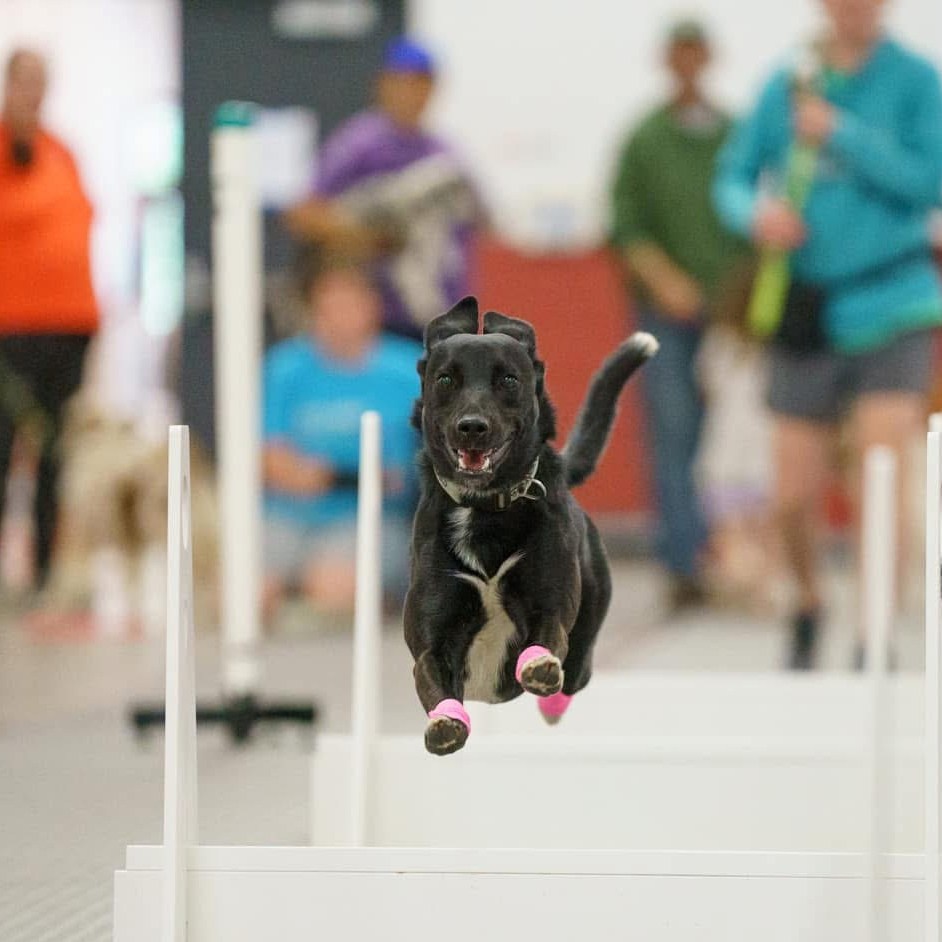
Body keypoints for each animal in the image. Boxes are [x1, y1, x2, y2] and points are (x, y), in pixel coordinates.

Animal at [405, 296, 657, 755]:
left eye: (508, 379)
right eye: (446, 379)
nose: (472, 426)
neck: (485, 508)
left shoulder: (549, 603)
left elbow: (546, 635)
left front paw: (538, 666)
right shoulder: (433, 634)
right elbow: (430, 674)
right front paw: (445, 724)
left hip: (587, 634)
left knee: (573, 674)